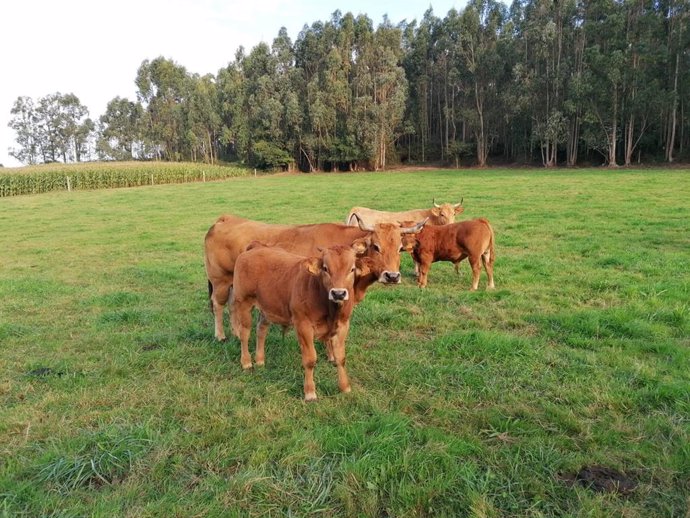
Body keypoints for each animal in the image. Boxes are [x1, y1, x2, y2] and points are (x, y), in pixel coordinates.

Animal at [203, 214, 424, 342]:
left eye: (399, 248)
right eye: (376, 246)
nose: (392, 276)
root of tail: (224, 219)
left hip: (234, 284)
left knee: (232, 304)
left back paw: (237, 332)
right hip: (220, 280)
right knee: (218, 304)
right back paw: (221, 335)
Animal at [230, 244, 360, 402]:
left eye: (352, 269)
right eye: (325, 268)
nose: (338, 293)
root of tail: (256, 248)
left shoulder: (343, 325)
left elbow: (341, 358)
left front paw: (345, 387)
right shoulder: (303, 325)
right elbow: (310, 359)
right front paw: (310, 392)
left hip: (268, 307)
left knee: (261, 330)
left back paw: (260, 359)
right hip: (243, 302)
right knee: (244, 333)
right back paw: (246, 362)